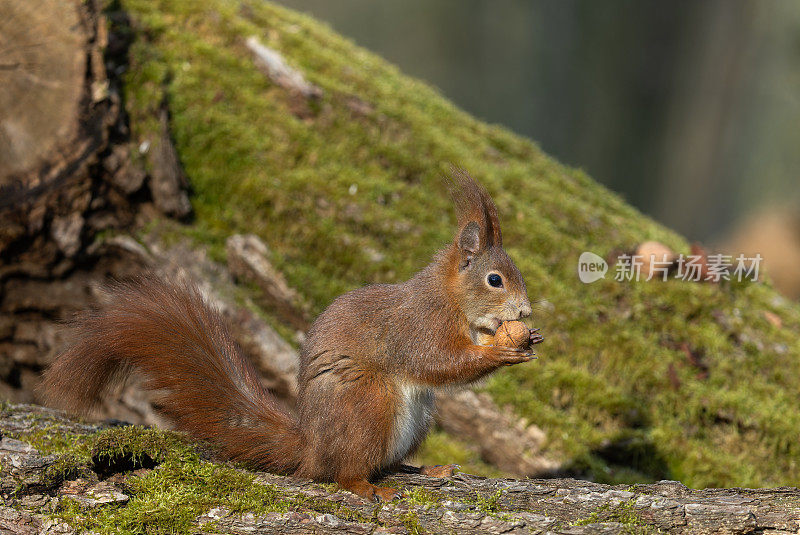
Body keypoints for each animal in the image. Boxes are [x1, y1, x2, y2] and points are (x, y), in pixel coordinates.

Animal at [43, 172, 544, 502]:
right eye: (496, 280)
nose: (525, 312)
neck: (451, 299)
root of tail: (312, 448)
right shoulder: (417, 326)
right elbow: (438, 362)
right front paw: (505, 347)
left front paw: (528, 337)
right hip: (369, 405)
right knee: (345, 471)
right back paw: (365, 486)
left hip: (416, 419)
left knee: (386, 462)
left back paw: (427, 467)